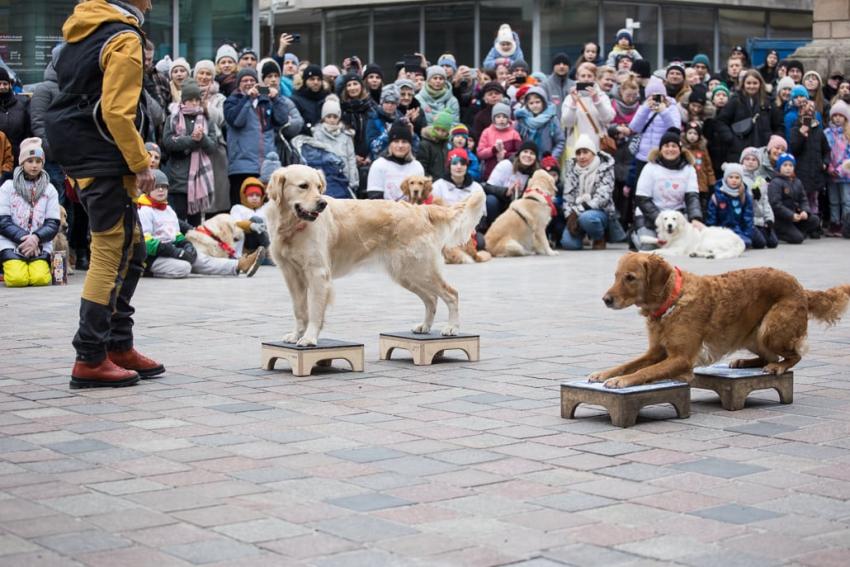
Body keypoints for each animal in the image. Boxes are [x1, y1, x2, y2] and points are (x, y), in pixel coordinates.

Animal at [264, 164, 484, 346]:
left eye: (319, 187)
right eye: (303, 186)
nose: (322, 204)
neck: (291, 227)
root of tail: (419, 209)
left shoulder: (318, 273)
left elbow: (315, 310)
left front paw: (309, 338)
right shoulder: (291, 274)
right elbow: (299, 309)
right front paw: (296, 335)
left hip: (420, 269)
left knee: (451, 293)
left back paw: (452, 328)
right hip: (406, 273)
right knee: (431, 298)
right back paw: (424, 326)